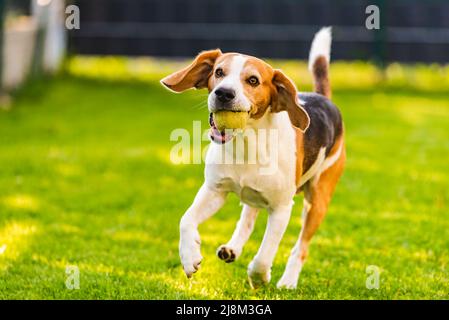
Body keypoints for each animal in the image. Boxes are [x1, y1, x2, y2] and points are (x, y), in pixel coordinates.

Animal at [162, 26, 346, 288]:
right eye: (219, 72)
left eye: (253, 81)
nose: (223, 93)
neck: (246, 144)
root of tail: (324, 98)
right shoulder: (214, 190)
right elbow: (186, 220)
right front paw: (189, 257)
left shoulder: (281, 209)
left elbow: (265, 253)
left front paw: (259, 277)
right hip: (254, 193)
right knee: (247, 217)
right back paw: (232, 248)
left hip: (317, 201)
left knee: (301, 247)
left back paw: (288, 280)